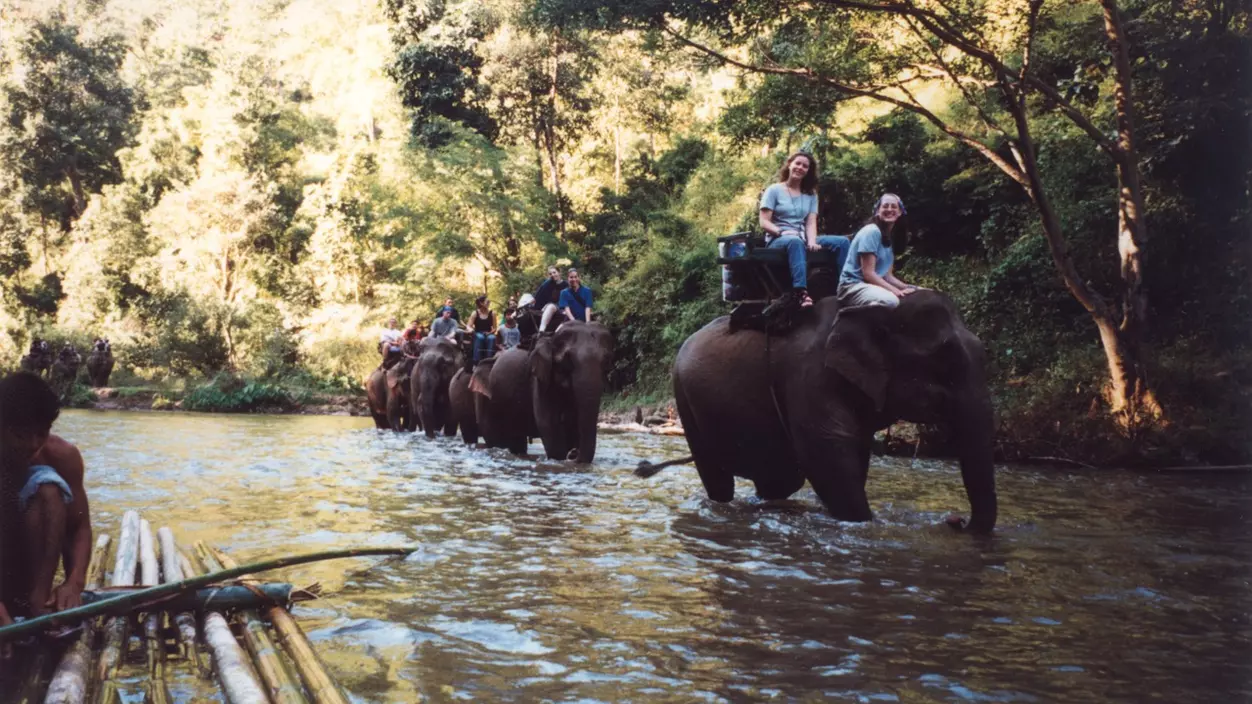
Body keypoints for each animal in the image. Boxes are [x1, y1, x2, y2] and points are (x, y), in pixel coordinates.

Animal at [656, 291, 996, 531]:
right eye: (946, 360)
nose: (956, 521)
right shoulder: (810, 378)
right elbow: (826, 455)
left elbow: (852, 455)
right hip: (685, 399)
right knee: (719, 478)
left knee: (777, 480)